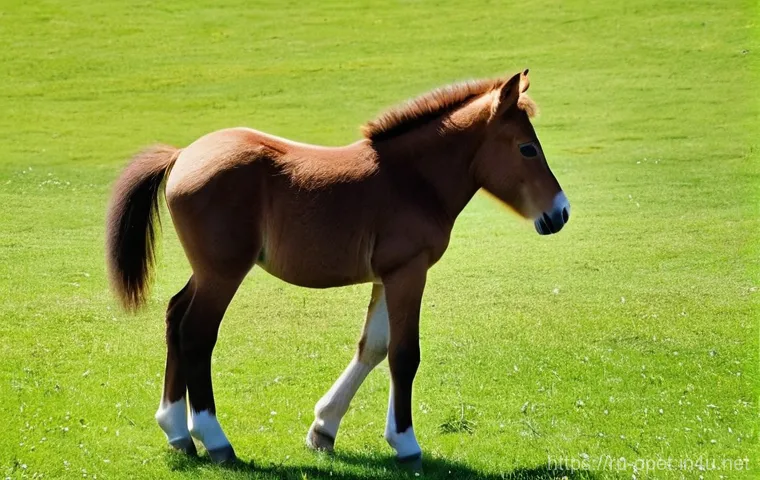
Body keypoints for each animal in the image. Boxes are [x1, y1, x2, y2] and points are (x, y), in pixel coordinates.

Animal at [105, 69, 570, 467]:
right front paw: (406, 444)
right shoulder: (409, 271)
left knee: (174, 317)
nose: (560, 212)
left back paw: (177, 432)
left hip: (206, 271)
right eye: (527, 148)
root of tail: (183, 155)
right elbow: (404, 354)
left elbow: (373, 347)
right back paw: (215, 440)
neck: (412, 180)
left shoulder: (388, 276)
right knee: (196, 334)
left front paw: (323, 430)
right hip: (223, 273)